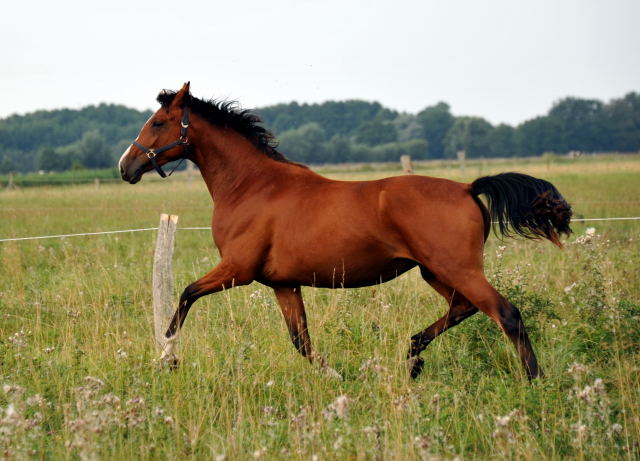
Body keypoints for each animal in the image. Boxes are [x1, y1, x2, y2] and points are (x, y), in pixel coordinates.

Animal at [119, 82, 568, 378]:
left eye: (158, 122)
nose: (126, 167)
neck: (251, 186)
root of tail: (466, 187)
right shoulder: (283, 284)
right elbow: (301, 341)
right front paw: (334, 376)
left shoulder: (237, 270)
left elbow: (185, 296)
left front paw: (167, 355)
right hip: (435, 271)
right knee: (463, 308)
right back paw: (412, 356)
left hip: (457, 268)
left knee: (506, 315)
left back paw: (534, 381)